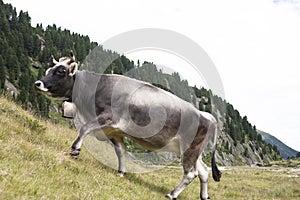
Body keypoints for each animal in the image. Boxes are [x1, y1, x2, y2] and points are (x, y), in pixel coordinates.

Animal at [34, 52, 220, 199]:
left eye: (60, 71)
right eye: (48, 71)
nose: (38, 83)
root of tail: (205, 115)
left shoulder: (108, 118)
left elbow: (84, 128)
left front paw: (75, 150)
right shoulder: (115, 132)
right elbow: (120, 152)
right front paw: (121, 172)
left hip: (189, 149)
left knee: (191, 173)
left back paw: (172, 194)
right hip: (192, 151)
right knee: (204, 171)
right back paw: (204, 196)